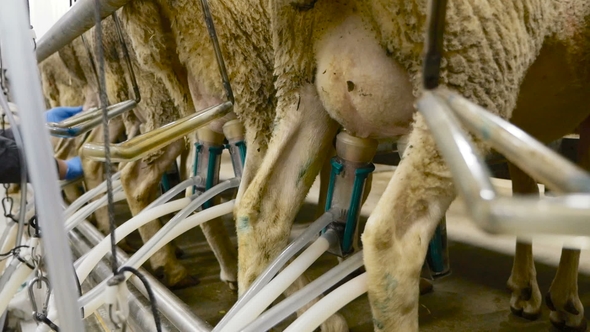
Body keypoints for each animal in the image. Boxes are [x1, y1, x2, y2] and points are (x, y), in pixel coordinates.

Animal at [232, 0, 590, 330]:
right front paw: (563, 299)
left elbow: (527, 184)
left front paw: (528, 289)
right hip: (466, 67)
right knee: (391, 244)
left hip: (299, 76)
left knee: (260, 211)